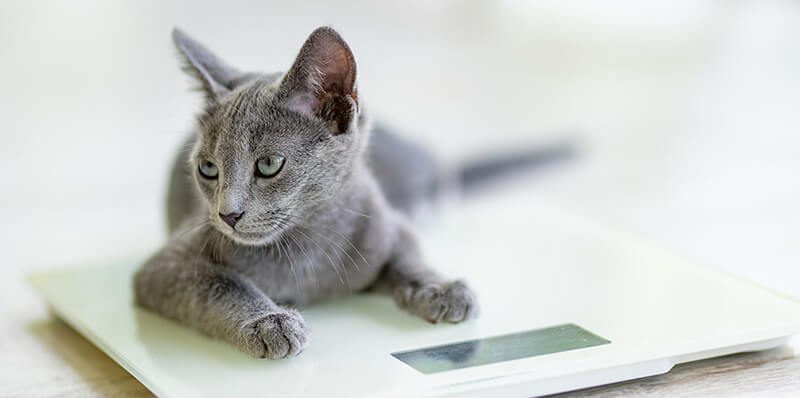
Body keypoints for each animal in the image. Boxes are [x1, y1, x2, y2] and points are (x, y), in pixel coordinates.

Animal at [133, 26, 568, 360]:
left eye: (270, 164)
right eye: (208, 169)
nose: (227, 215)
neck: (306, 248)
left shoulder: (385, 223)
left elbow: (408, 254)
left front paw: (439, 289)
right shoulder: (165, 265)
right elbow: (223, 283)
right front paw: (269, 321)